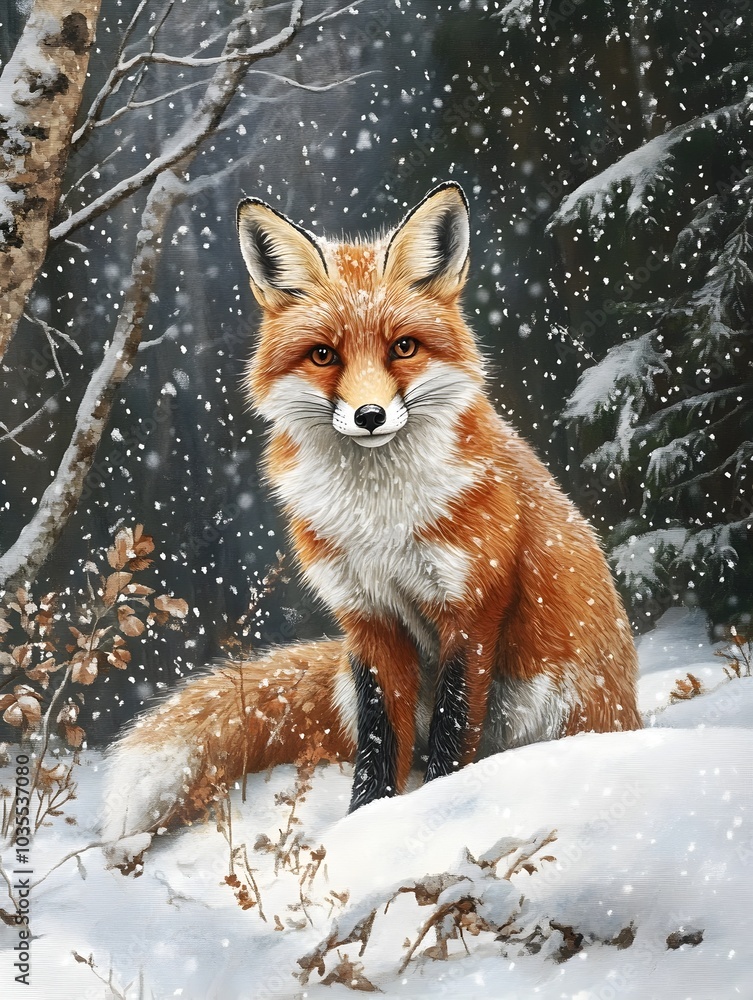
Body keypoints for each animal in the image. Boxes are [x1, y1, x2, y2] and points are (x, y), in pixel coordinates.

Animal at [102, 182, 641, 848]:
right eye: (324, 355)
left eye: (402, 347)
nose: (369, 417)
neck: (378, 520)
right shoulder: (366, 616)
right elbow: (381, 743)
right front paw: (364, 825)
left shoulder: (473, 607)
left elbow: (453, 730)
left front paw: (432, 809)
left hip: (549, 698)